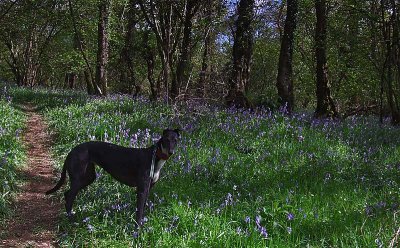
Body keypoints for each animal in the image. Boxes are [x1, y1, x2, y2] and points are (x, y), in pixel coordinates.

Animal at [45, 129, 180, 226]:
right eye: (166, 139)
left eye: (175, 140)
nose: (171, 152)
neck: (155, 157)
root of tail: (71, 151)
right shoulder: (141, 190)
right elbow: (139, 211)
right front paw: (137, 230)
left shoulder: (148, 189)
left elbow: (142, 209)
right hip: (79, 178)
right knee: (69, 197)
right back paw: (72, 221)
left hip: (89, 177)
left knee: (67, 194)